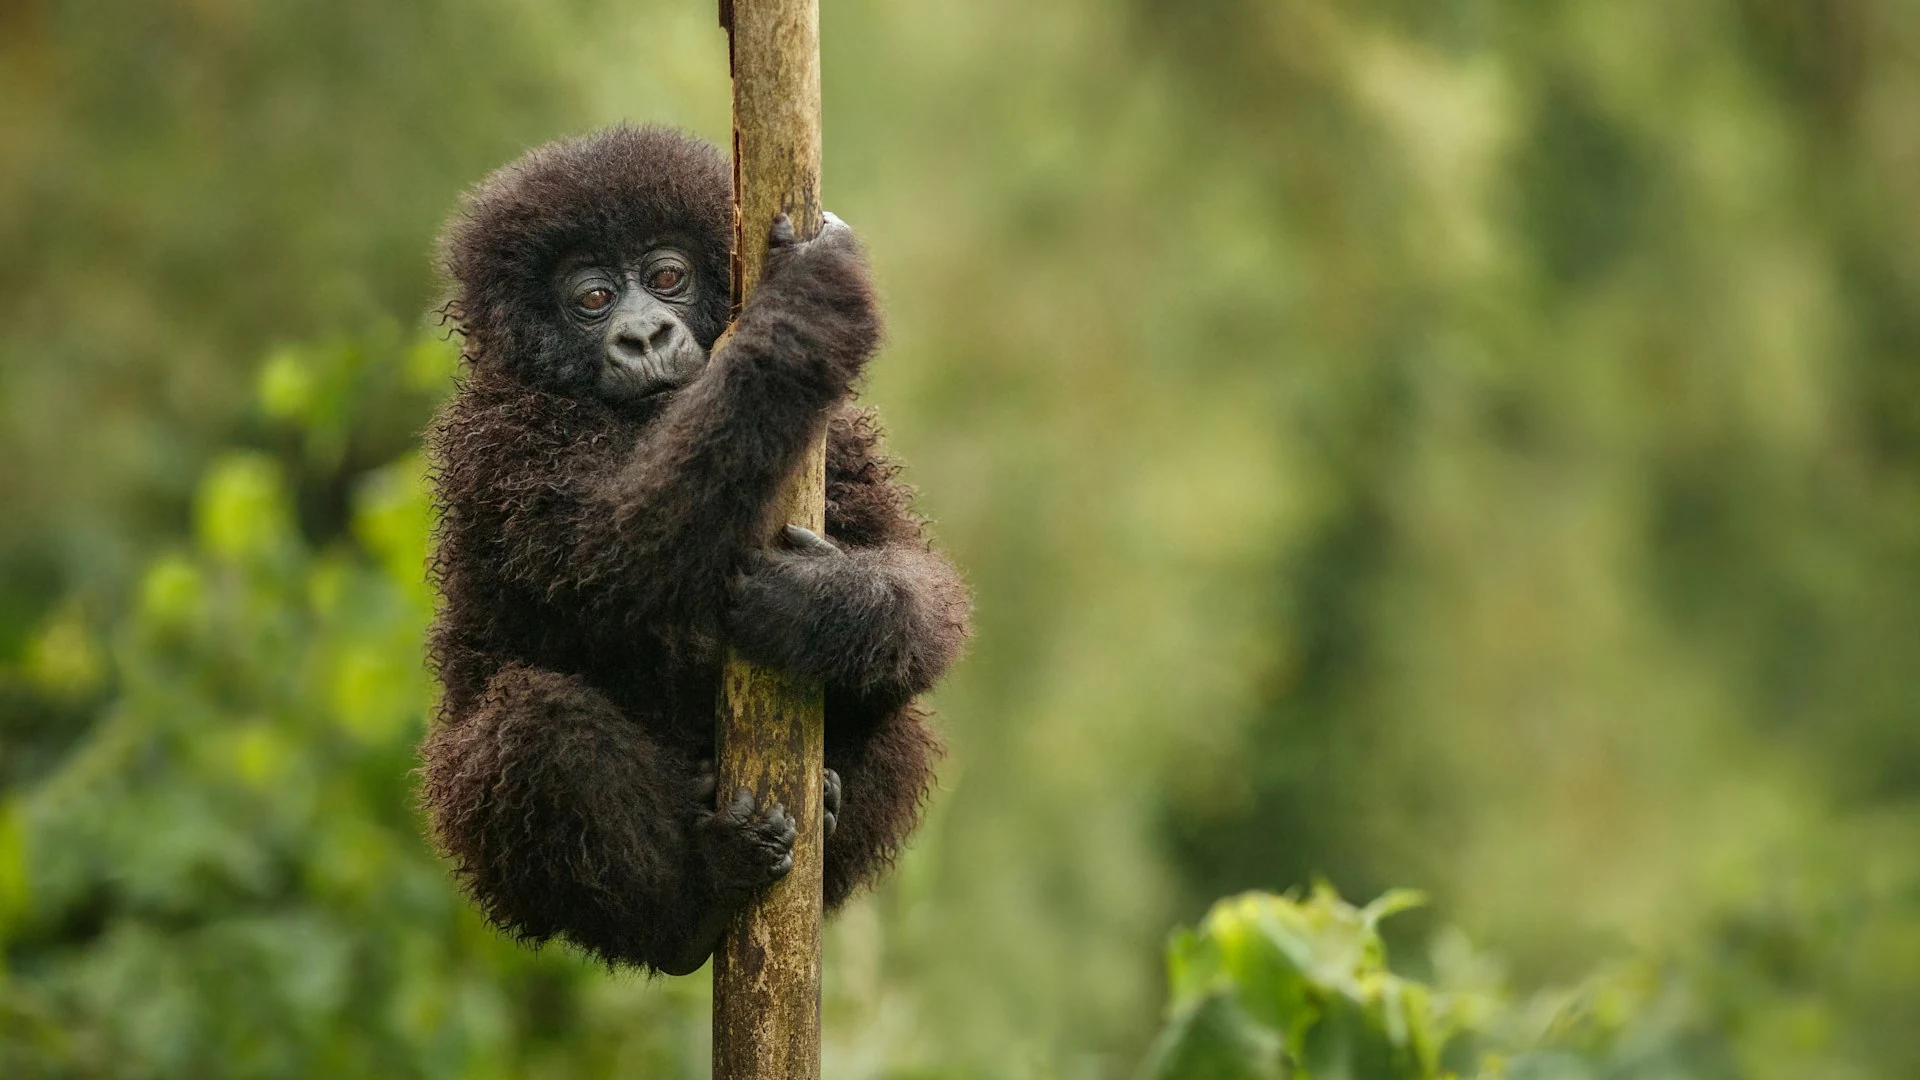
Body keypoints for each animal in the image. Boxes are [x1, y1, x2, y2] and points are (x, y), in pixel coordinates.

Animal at [417, 125, 970, 976]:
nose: (644, 334)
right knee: (535, 726)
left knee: (900, 708)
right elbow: (618, 549)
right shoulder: (498, 442)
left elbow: (918, 583)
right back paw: (691, 907)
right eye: (592, 299)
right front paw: (804, 307)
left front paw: (818, 608)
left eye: (667, 277)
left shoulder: (839, 436)